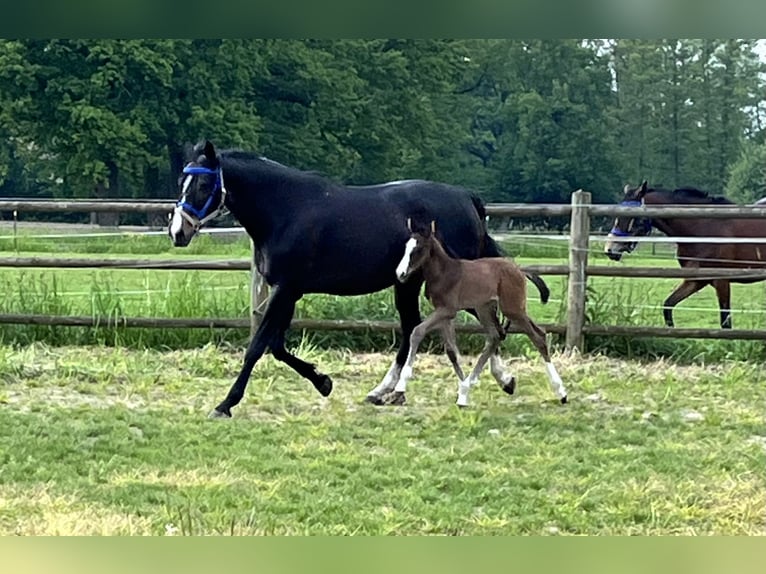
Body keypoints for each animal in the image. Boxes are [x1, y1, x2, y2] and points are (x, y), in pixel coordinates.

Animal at [170, 141, 500, 416]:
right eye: (181, 182)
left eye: (203, 184)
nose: (177, 232)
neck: (286, 210)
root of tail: (466, 198)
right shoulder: (290, 291)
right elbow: (276, 345)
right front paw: (323, 381)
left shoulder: (285, 289)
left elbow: (257, 346)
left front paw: (225, 404)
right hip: (407, 283)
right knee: (414, 329)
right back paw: (385, 391)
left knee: (493, 322)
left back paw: (498, 379)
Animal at [384, 222, 568, 410]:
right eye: (406, 247)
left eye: (418, 249)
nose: (400, 274)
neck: (444, 272)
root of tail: (519, 270)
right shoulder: (444, 314)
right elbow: (451, 350)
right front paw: (461, 389)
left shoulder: (447, 310)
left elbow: (417, 331)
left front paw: (400, 387)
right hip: (486, 308)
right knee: (500, 336)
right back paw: (467, 391)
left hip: (512, 309)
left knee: (537, 336)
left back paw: (561, 392)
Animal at [608, 182, 766, 330]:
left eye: (631, 216)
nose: (610, 249)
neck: (701, 229)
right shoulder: (695, 280)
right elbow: (668, 305)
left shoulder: (722, 280)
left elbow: (725, 322)